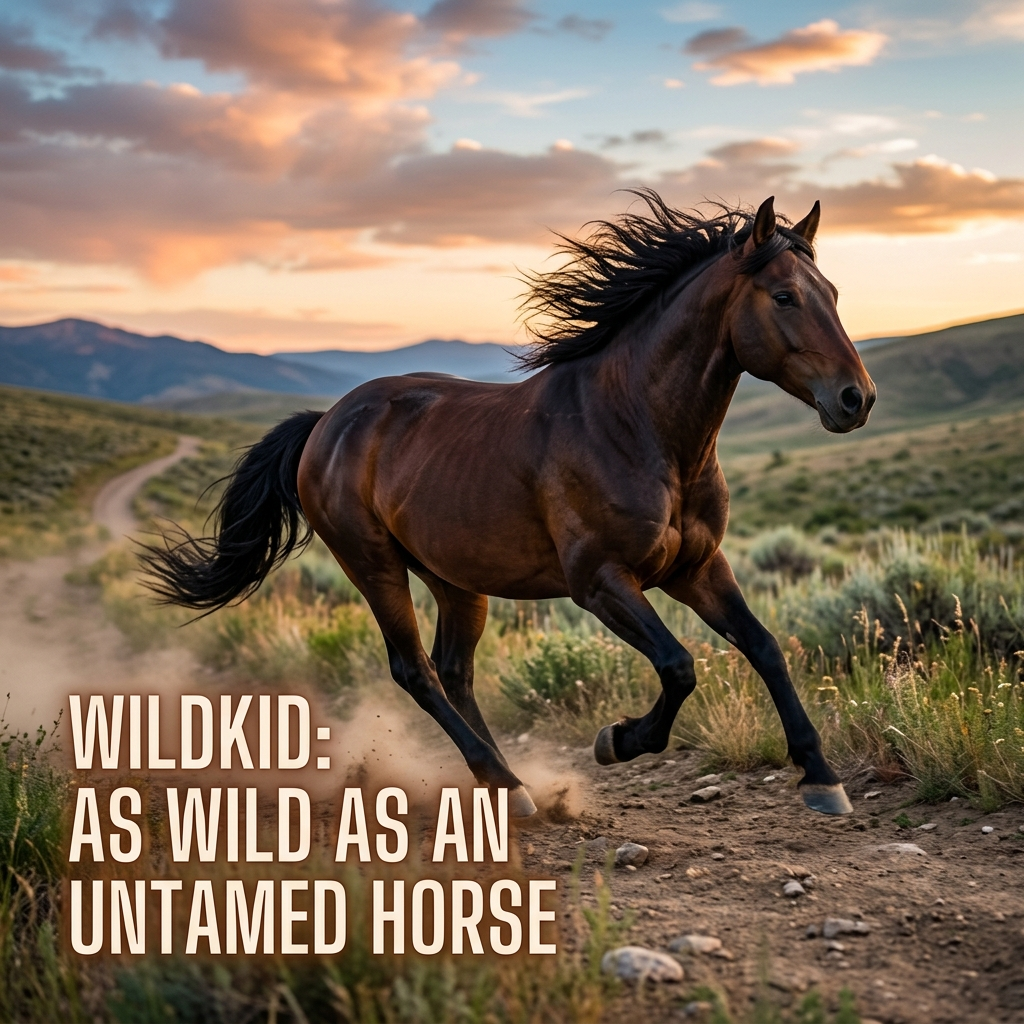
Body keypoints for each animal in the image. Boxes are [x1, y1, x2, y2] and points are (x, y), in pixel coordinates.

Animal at [144, 192, 875, 819]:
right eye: (784, 296)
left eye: (835, 294)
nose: (856, 399)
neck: (638, 425)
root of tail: (326, 422)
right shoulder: (601, 582)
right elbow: (678, 666)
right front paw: (617, 740)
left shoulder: (696, 568)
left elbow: (764, 646)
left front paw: (821, 778)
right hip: (373, 565)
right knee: (416, 672)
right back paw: (508, 785)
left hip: (456, 579)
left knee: (454, 671)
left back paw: (511, 787)